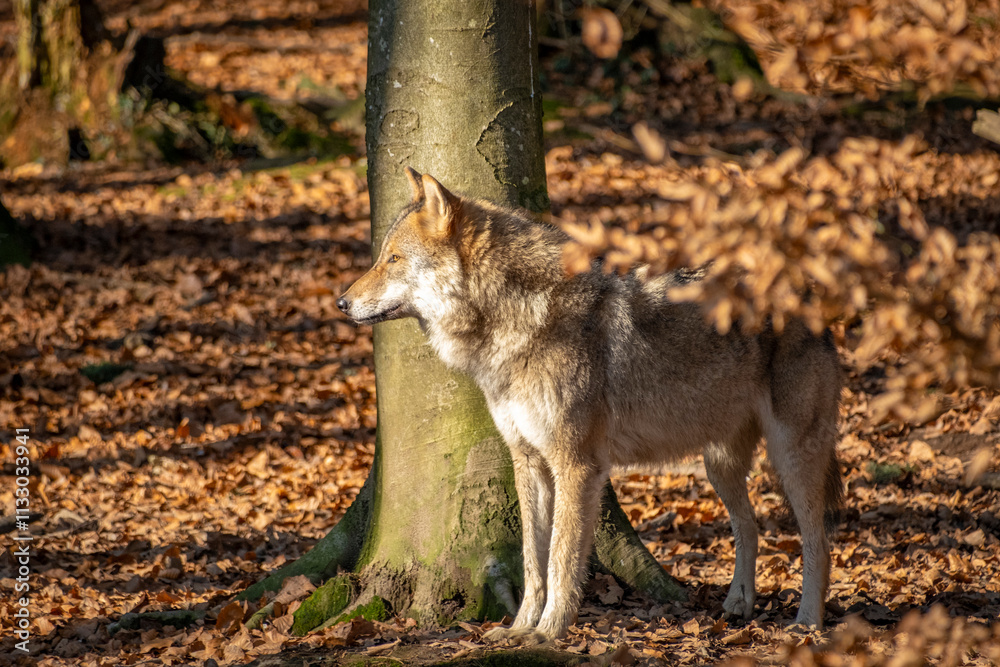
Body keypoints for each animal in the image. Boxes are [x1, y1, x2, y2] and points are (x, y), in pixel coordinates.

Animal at [338, 168, 843, 643]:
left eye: (394, 259)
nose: (342, 302)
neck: (520, 322)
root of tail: (805, 293)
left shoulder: (576, 464)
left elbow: (561, 558)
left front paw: (549, 632)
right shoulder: (529, 460)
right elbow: (533, 560)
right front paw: (519, 628)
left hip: (791, 457)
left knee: (818, 541)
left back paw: (807, 623)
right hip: (718, 464)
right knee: (750, 526)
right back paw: (739, 604)